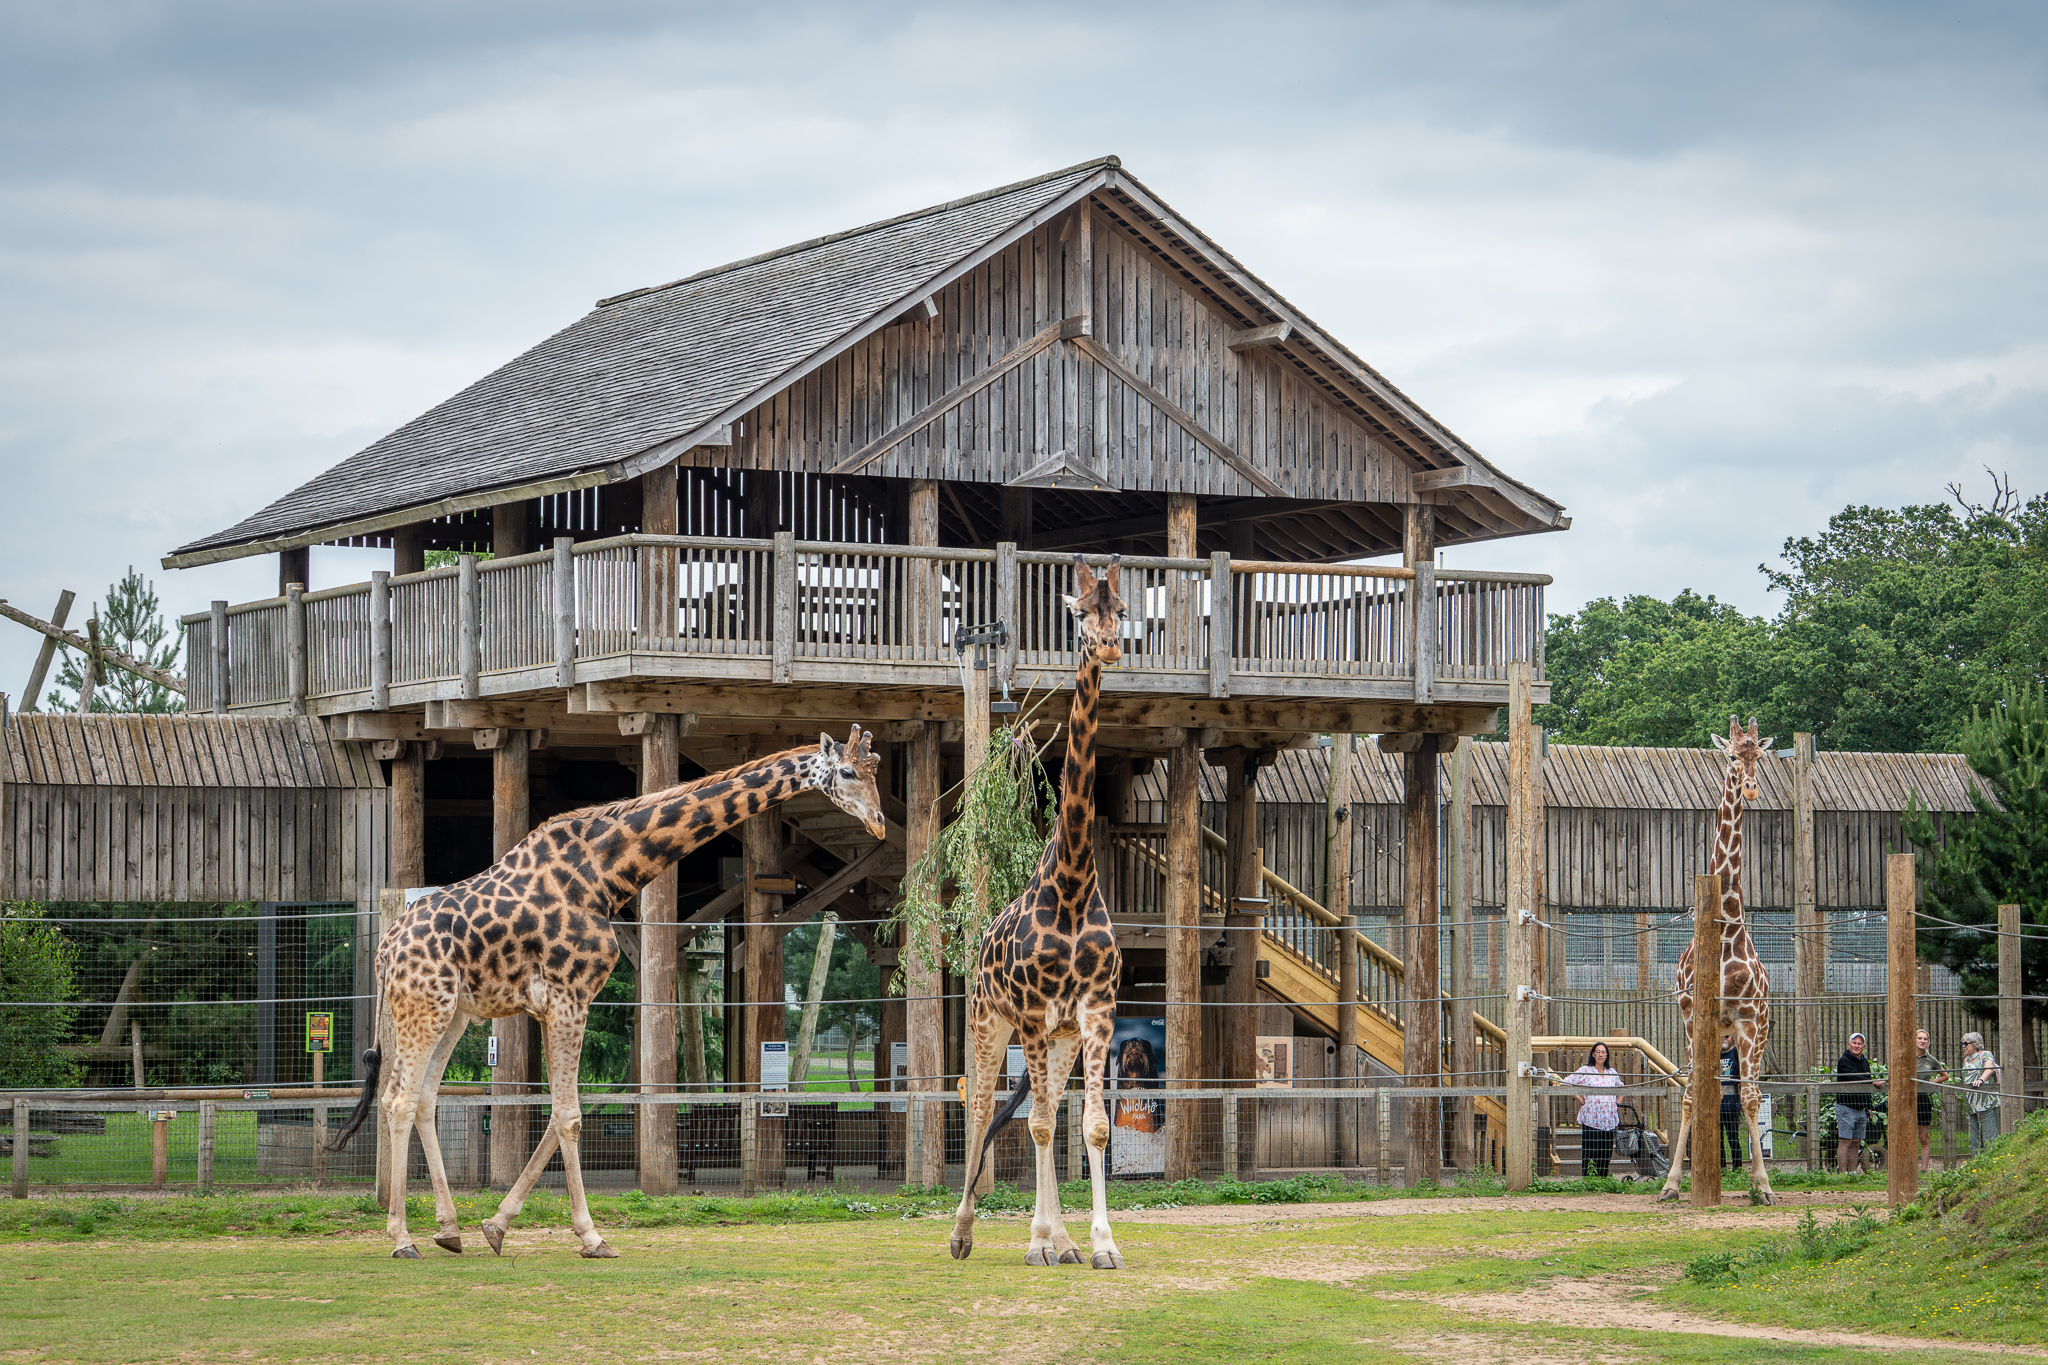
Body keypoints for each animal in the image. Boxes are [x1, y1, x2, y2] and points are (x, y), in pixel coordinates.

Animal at [329, 728, 885, 1258]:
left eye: (876, 769)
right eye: (849, 771)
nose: (880, 823)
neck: (603, 873)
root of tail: (385, 950)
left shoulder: (562, 1003)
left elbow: (559, 1113)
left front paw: (495, 1225)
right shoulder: (569, 996)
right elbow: (569, 1116)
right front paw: (592, 1237)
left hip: (453, 1012)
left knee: (424, 1098)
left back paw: (448, 1230)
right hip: (423, 1006)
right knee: (398, 1099)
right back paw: (402, 1239)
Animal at [948, 555, 1127, 1269]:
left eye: (1122, 610)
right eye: (1079, 615)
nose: (1108, 646)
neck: (1073, 885)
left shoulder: (1096, 1011)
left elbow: (1094, 1126)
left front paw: (1100, 1244)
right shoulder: (1026, 1012)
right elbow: (1043, 1123)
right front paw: (1039, 1242)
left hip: (1061, 1037)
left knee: (1041, 1109)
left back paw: (1062, 1240)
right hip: (989, 1021)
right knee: (984, 1109)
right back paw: (966, 1233)